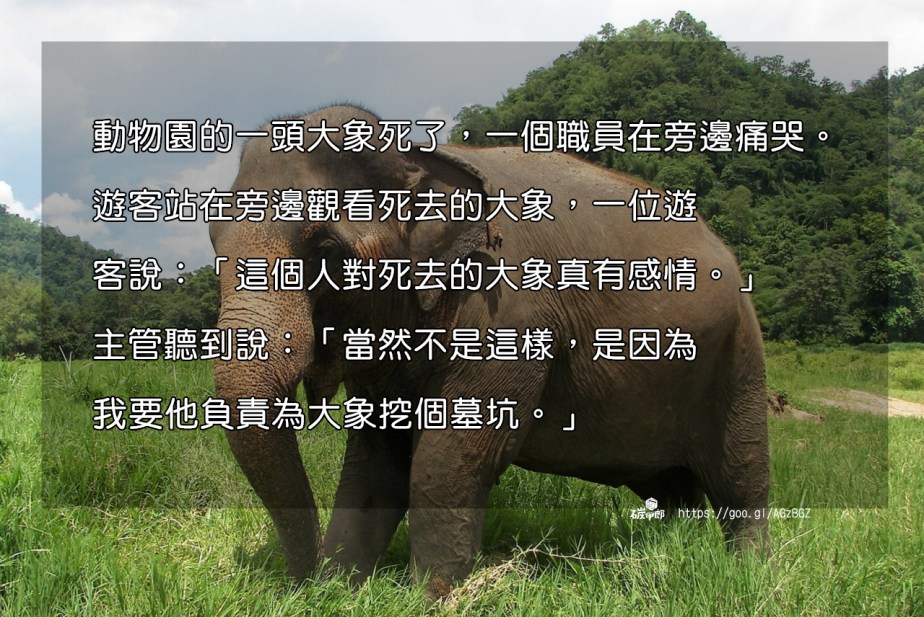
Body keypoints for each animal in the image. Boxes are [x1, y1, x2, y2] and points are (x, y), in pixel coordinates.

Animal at [209, 104, 769, 600]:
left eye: (326, 250)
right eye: (215, 246)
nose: (295, 586)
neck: (420, 156)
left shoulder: (508, 311)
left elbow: (448, 460)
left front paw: (429, 598)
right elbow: (375, 463)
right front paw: (340, 589)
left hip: (740, 354)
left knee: (742, 478)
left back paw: (747, 572)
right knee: (673, 491)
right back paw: (671, 550)